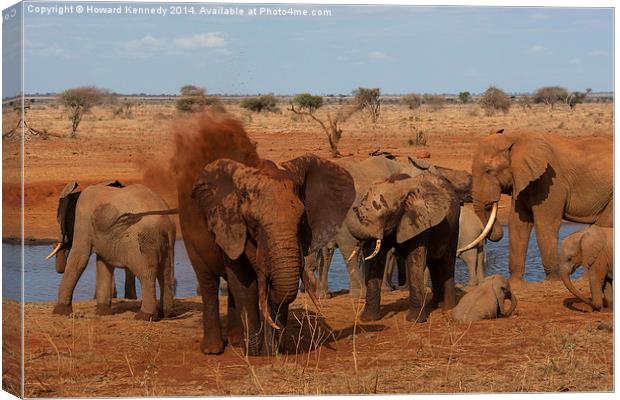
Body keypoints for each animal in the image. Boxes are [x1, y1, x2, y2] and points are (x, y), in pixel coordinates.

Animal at [46, 180, 174, 318]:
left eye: (59, 218)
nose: (56, 244)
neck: (78, 193)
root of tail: (166, 224)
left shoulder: (83, 219)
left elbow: (79, 259)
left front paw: (59, 312)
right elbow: (103, 263)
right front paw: (103, 313)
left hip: (144, 240)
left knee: (146, 274)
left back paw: (144, 316)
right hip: (164, 241)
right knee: (165, 273)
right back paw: (166, 314)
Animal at [171, 111, 354, 354]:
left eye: (301, 219)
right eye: (253, 222)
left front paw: (273, 351)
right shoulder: (231, 226)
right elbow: (245, 284)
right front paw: (257, 352)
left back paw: (238, 342)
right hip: (189, 231)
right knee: (208, 280)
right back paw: (215, 349)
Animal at [348, 172, 460, 322]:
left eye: (387, 214)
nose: (354, 209)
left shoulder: (419, 222)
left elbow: (414, 262)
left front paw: (415, 320)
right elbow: (375, 262)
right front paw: (367, 319)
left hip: (454, 227)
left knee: (447, 263)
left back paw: (448, 309)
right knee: (434, 264)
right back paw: (434, 305)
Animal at [468, 130, 612, 280]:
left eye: (489, 171)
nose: (490, 204)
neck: (514, 137)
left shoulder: (550, 181)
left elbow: (545, 224)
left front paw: (552, 281)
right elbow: (517, 223)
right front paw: (515, 281)